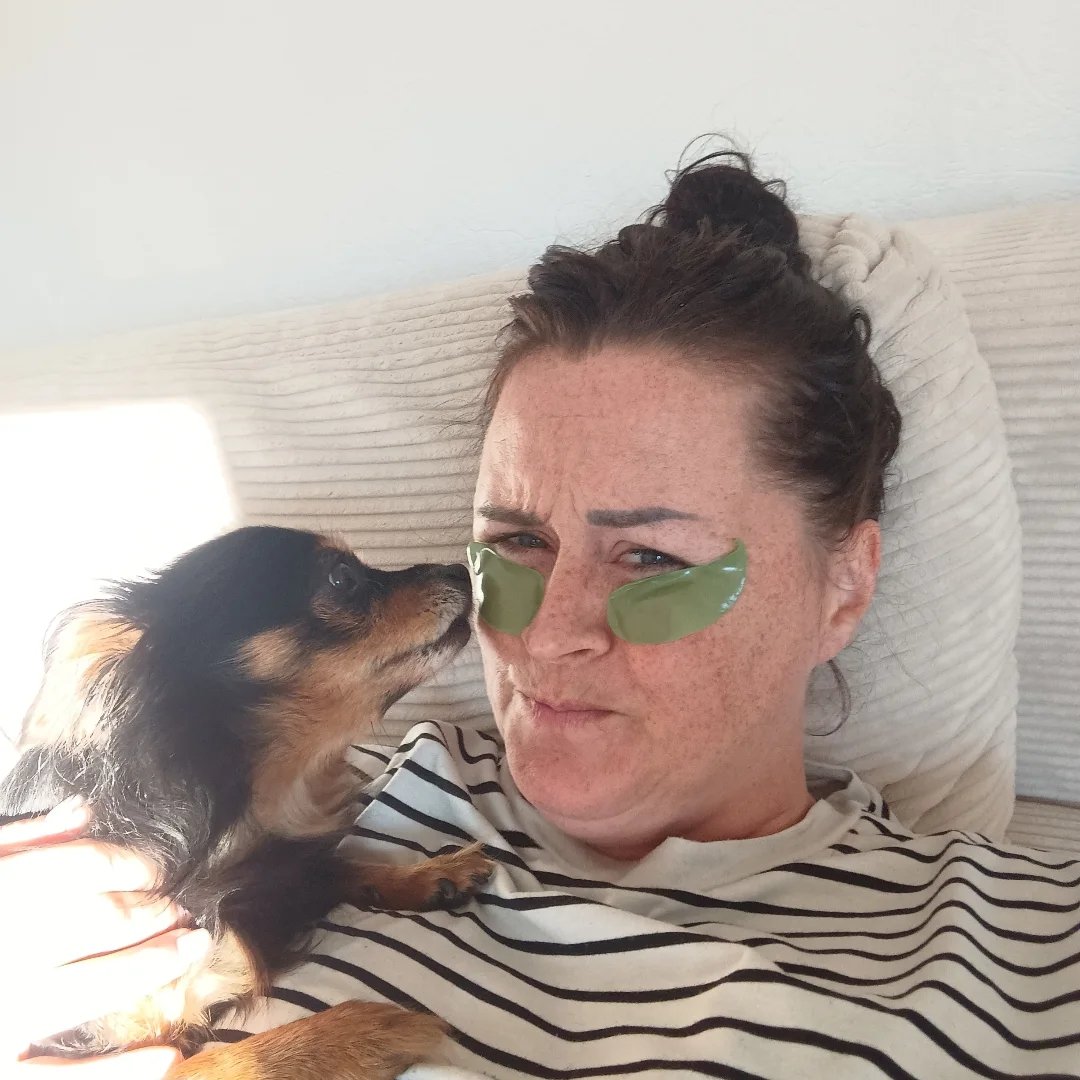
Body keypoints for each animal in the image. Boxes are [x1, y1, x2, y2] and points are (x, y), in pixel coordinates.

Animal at [0, 525, 492, 1079]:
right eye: (341, 578)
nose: (460, 567)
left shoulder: (272, 872)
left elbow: (330, 865)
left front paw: (433, 873)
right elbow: (234, 1059)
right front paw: (360, 1031)